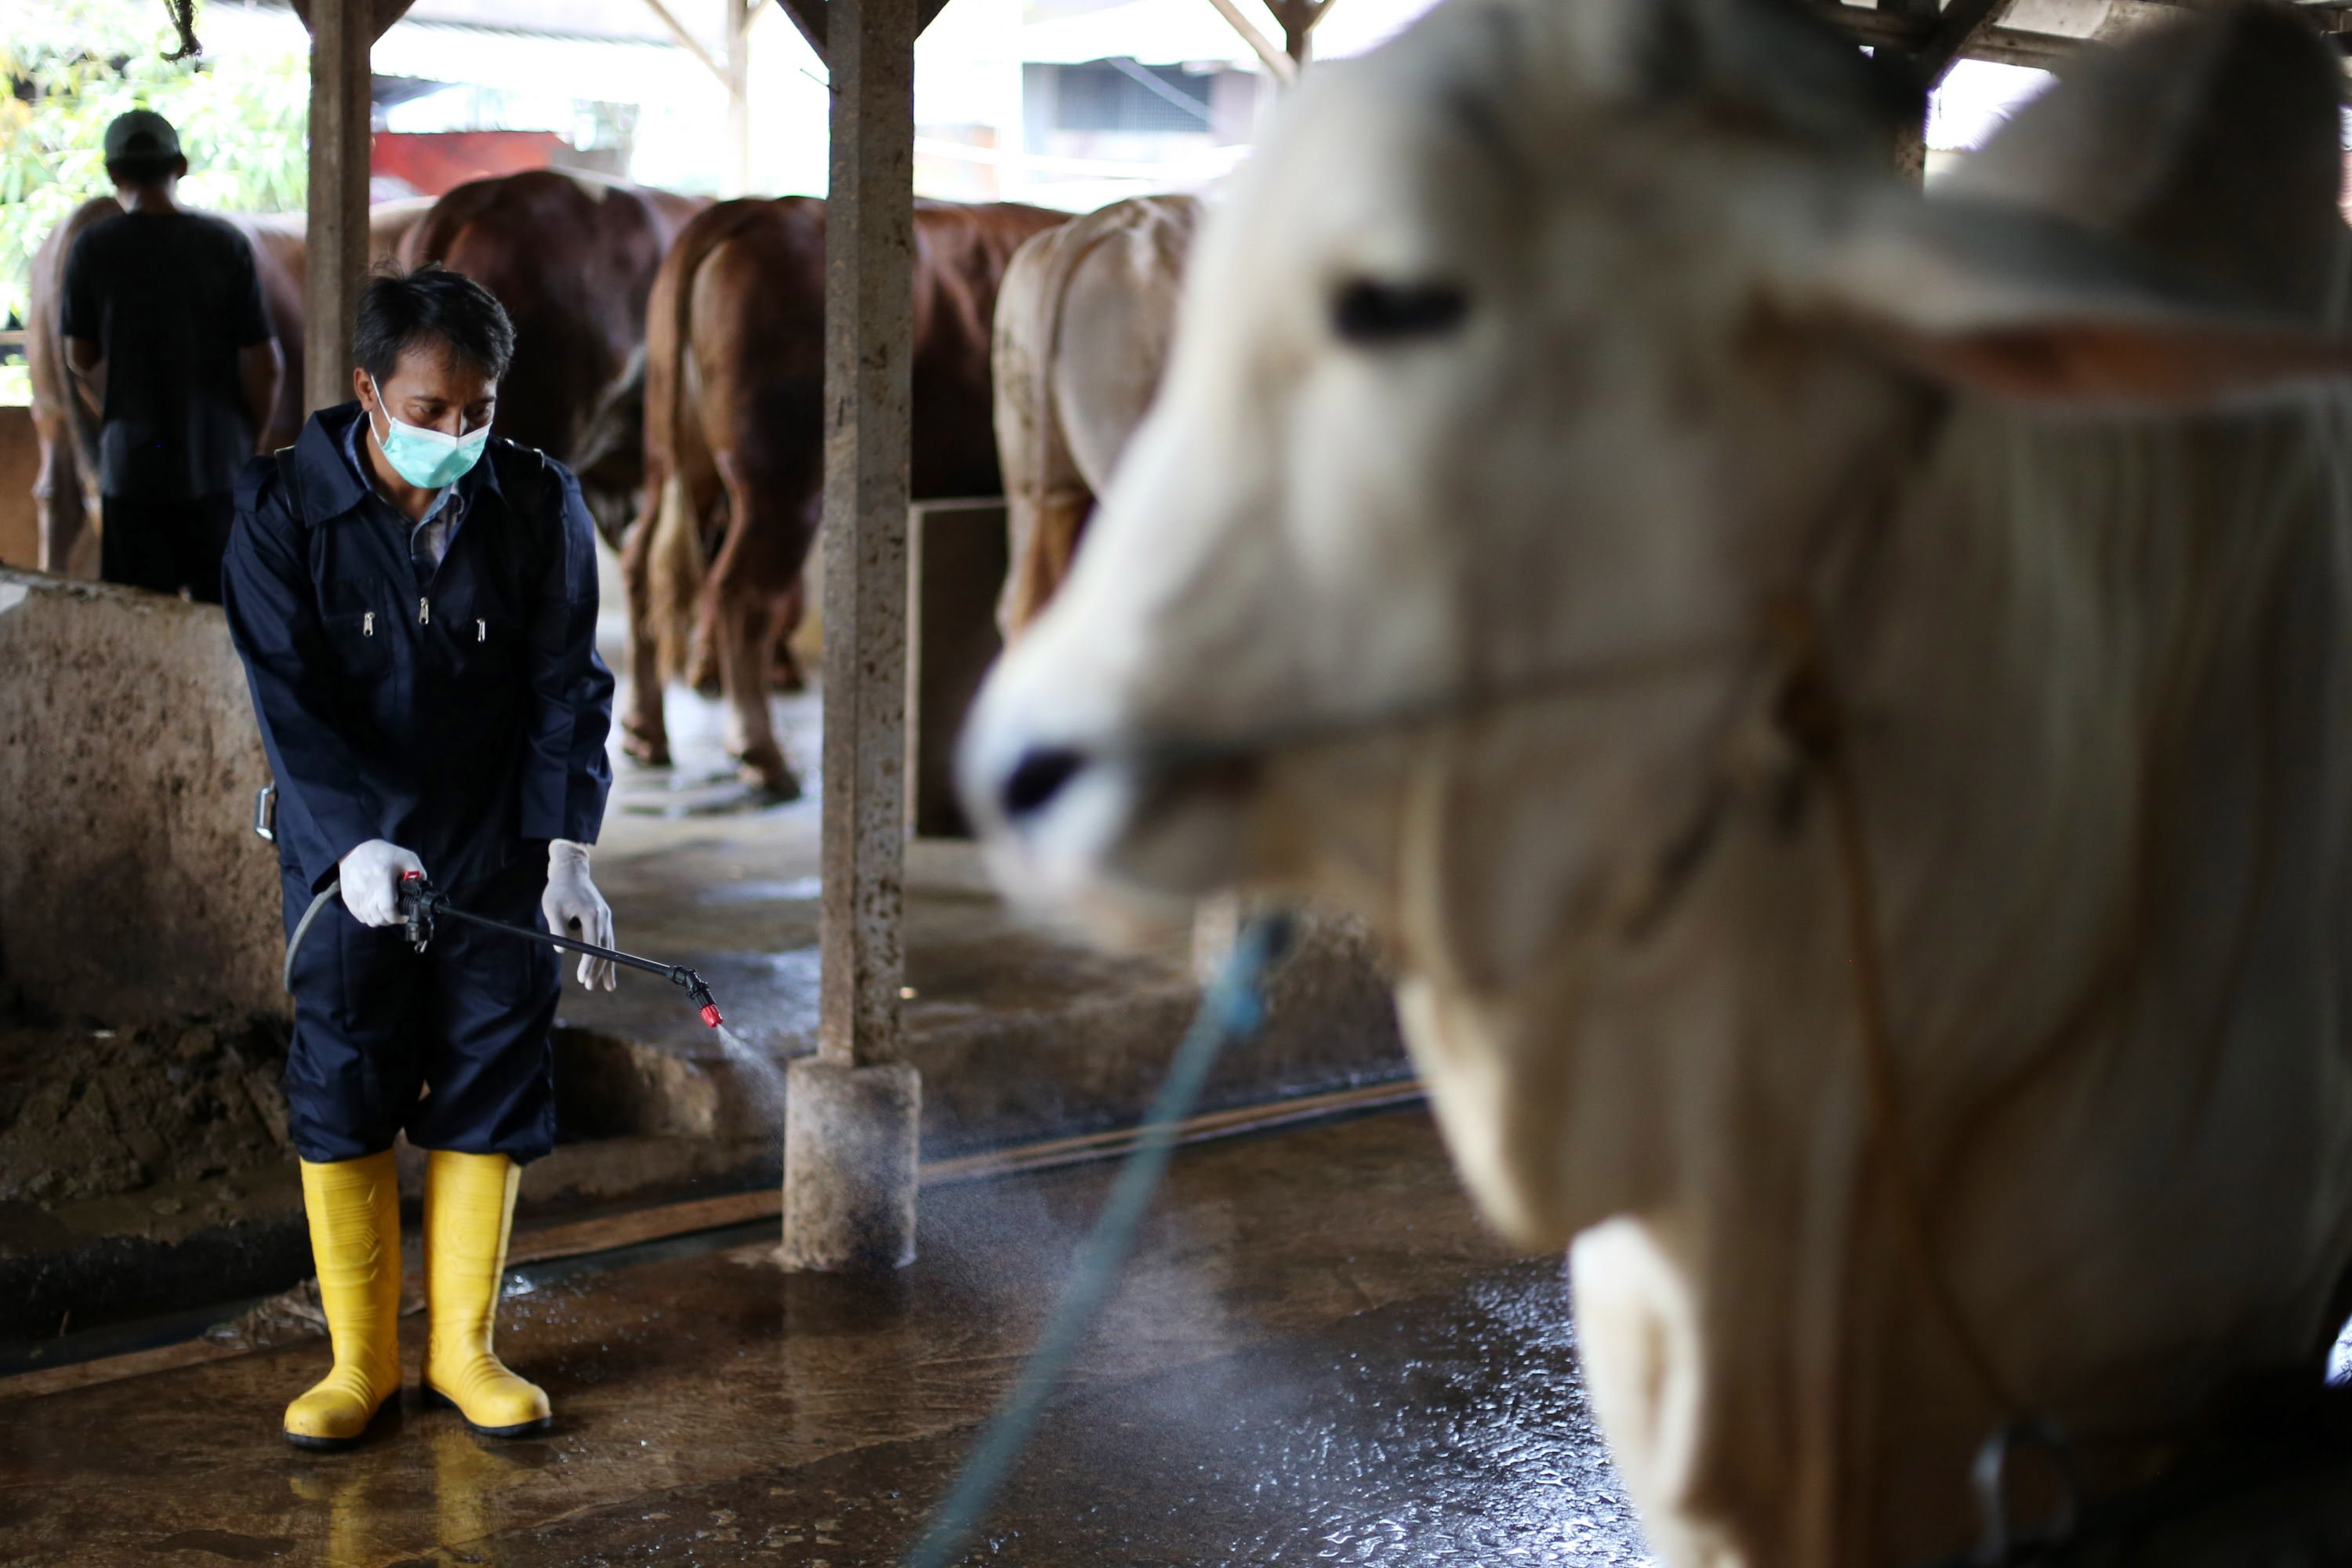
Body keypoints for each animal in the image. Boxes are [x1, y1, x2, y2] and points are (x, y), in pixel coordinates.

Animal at [626, 196, 1068, 799]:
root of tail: (750, 210)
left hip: (673, 460)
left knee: (644, 565)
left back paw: (645, 732)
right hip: (782, 483)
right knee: (741, 592)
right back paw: (763, 754)